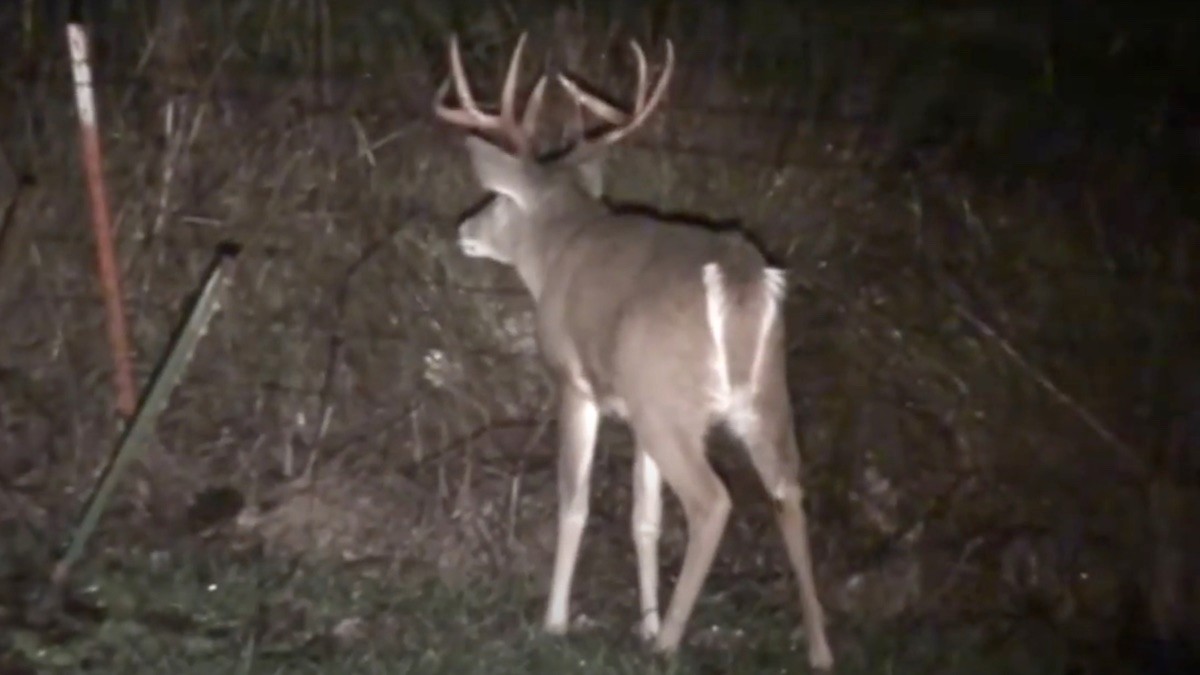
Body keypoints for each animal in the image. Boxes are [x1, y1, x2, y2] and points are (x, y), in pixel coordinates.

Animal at [432, 32, 834, 671]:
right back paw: (819, 650)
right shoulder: (634, 402)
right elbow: (645, 518)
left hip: (672, 403)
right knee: (788, 492)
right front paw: (642, 623)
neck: (558, 247)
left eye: (494, 198)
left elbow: (574, 500)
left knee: (712, 502)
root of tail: (739, 279)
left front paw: (557, 623)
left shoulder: (575, 382)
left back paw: (671, 643)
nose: (464, 229)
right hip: (759, 394)